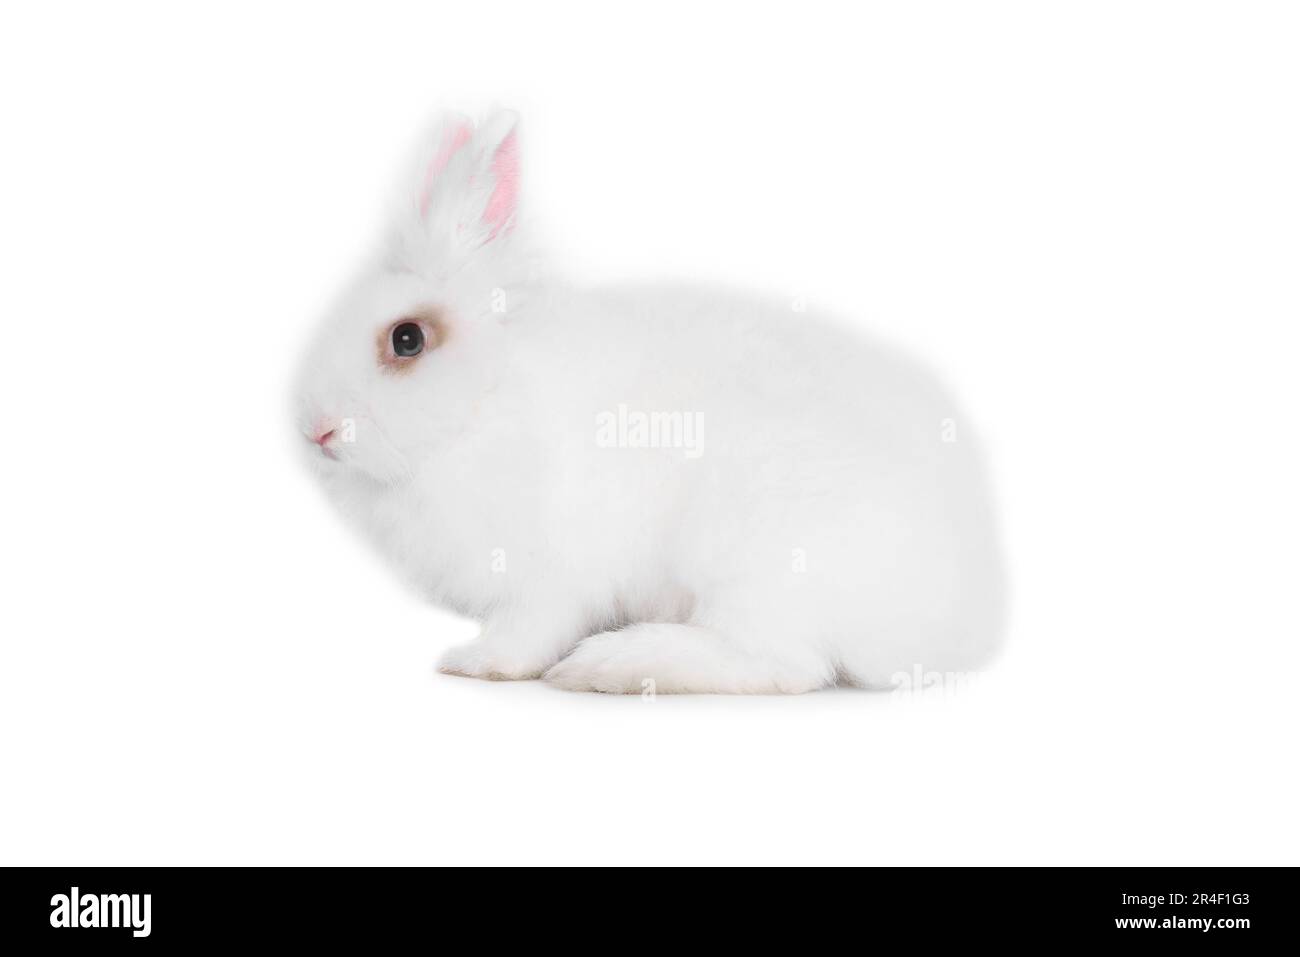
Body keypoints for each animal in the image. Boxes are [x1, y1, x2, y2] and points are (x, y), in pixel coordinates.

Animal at [295, 109, 1005, 694]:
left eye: (407, 339)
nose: (316, 429)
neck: (483, 407)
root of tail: (958, 620)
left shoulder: (551, 575)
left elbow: (530, 628)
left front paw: (476, 663)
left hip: (750, 555)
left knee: (783, 664)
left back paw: (613, 665)